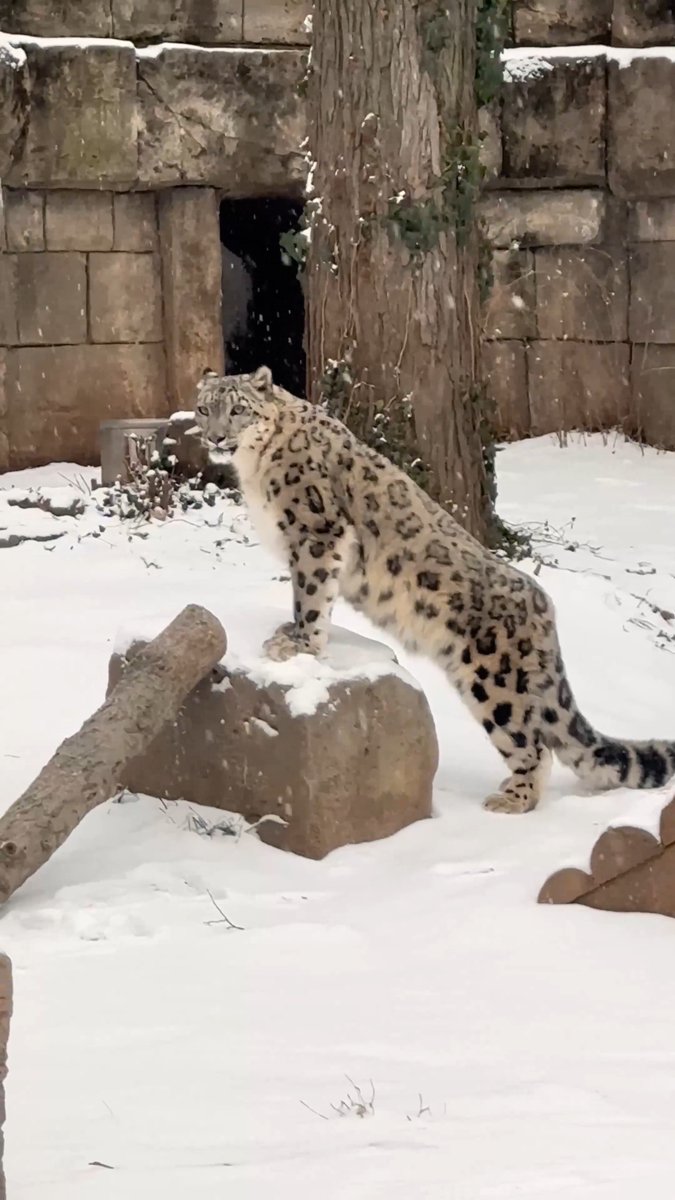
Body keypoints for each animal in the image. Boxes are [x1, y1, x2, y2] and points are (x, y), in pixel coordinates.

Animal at [193, 365, 675, 815]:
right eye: (204, 409)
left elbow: (311, 597)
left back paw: (511, 799)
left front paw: (299, 645)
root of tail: (544, 607)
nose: (216, 438)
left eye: (237, 410)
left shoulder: (315, 532)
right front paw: (289, 635)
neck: (255, 469)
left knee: (532, 744)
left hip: (495, 681)